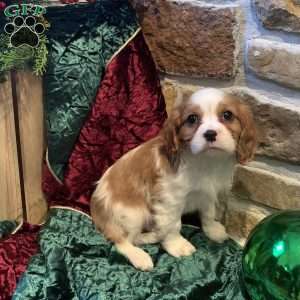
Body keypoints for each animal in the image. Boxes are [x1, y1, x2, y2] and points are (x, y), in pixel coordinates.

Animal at [90, 87, 256, 272]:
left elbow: (208, 213)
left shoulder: (207, 193)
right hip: (133, 213)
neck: (205, 160)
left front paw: (212, 229)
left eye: (227, 115)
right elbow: (173, 224)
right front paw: (177, 245)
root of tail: (95, 207)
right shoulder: (170, 200)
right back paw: (140, 255)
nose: (210, 133)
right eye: (192, 119)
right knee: (122, 240)